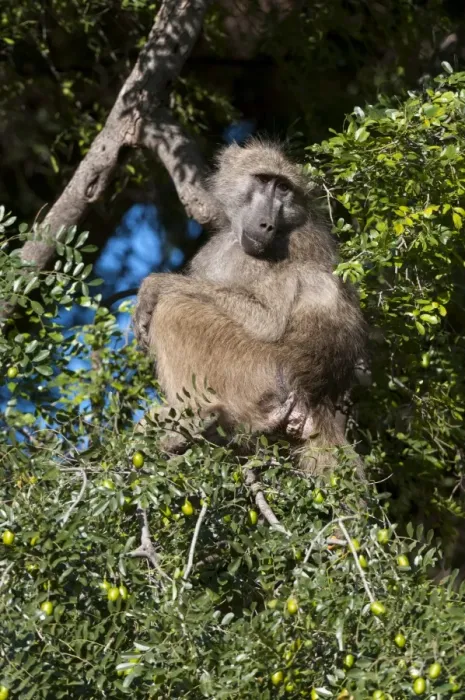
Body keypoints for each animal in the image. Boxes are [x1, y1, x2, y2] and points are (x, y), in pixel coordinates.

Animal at [133, 139, 366, 475]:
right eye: (263, 180)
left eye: (284, 188)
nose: (267, 224)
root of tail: (316, 398)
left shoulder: (294, 246)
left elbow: (267, 320)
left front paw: (155, 286)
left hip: (254, 372)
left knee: (174, 310)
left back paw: (198, 416)